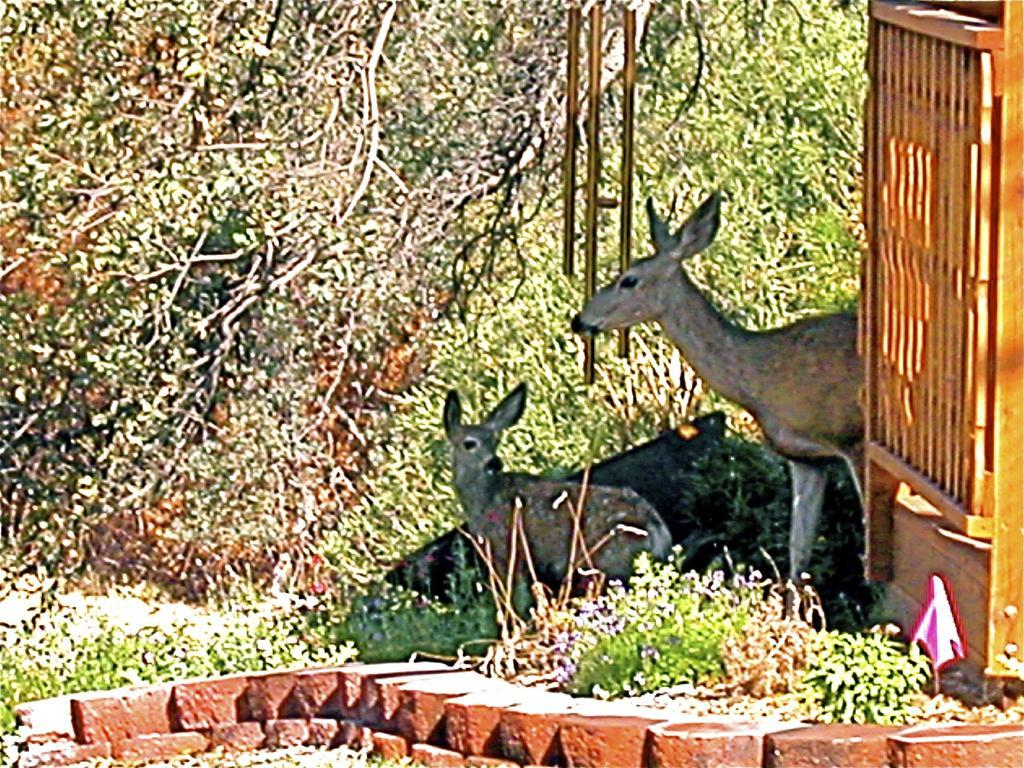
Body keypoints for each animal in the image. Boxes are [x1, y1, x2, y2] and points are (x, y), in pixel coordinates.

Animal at [442, 382, 671, 589]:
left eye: (495, 441)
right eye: (469, 444)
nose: (494, 462)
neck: (483, 498)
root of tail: (656, 528)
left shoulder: (506, 549)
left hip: (607, 561)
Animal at [573, 191, 860, 577]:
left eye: (628, 279)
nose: (579, 320)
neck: (762, 377)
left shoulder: (852, 439)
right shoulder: (805, 457)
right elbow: (798, 553)